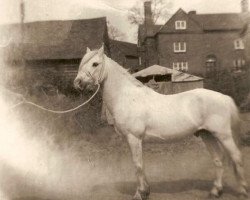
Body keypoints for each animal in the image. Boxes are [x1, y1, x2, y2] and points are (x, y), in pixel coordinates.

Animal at [73, 45, 248, 200]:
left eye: (95, 64)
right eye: (82, 62)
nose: (77, 83)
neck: (128, 97)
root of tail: (225, 98)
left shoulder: (134, 138)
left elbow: (137, 165)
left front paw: (140, 194)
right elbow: (140, 164)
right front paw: (146, 191)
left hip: (223, 135)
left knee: (237, 157)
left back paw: (243, 192)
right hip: (207, 135)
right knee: (218, 160)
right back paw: (215, 192)